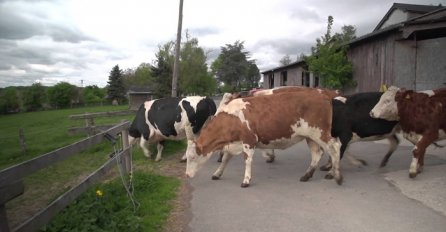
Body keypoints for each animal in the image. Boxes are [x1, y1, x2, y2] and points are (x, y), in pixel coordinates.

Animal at [185, 89, 342, 188]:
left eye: (192, 157)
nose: (186, 175)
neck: (232, 117)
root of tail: (322, 94)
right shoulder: (233, 143)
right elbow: (225, 159)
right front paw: (217, 173)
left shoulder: (248, 140)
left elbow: (247, 160)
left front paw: (246, 180)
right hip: (310, 136)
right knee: (317, 153)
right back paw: (307, 175)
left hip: (321, 133)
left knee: (335, 148)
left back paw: (336, 175)